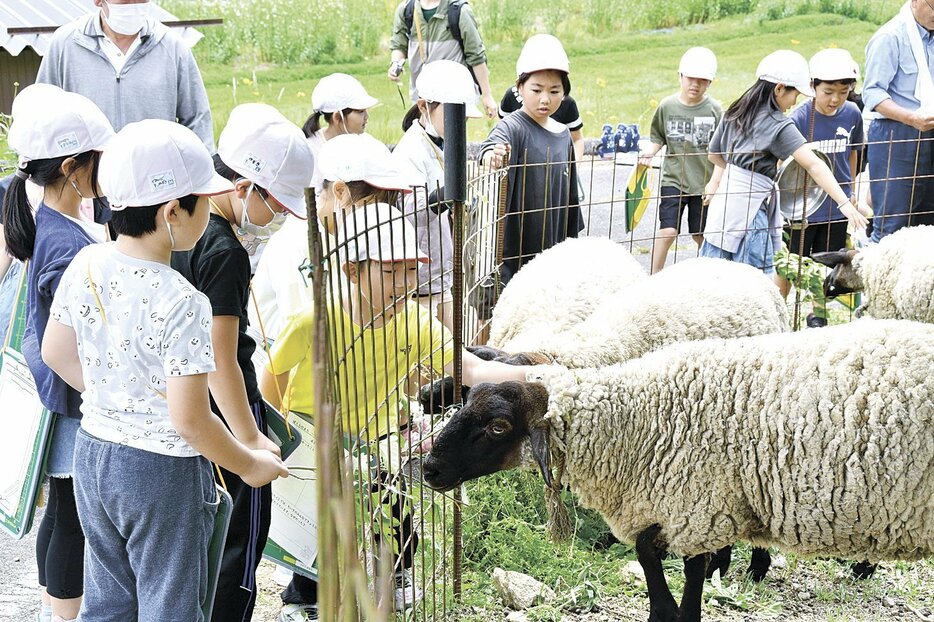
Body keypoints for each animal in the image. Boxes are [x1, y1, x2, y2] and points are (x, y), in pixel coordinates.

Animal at [424, 320, 934, 622]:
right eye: (465, 399)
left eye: (498, 426)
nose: (429, 469)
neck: (637, 421)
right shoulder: (680, 506)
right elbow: (648, 550)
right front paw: (662, 608)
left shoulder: (700, 507)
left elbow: (681, 570)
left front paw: (676, 609)